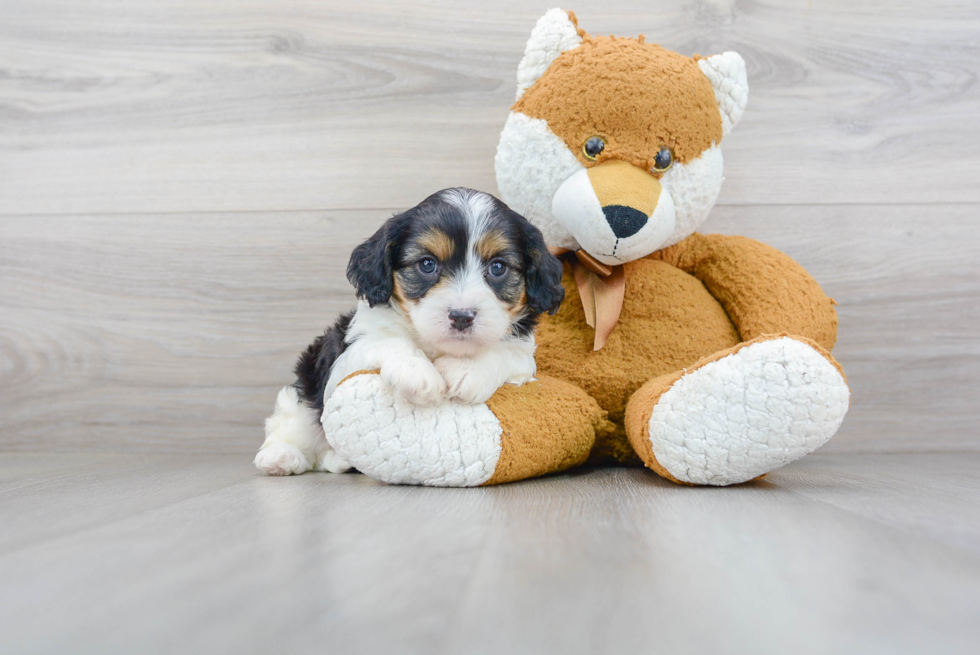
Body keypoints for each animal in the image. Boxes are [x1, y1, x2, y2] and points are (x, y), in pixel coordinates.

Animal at [256, 188, 564, 476]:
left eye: (498, 267)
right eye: (427, 264)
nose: (462, 316)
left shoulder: (524, 357)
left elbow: (505, 352)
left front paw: (468, 369)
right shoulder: (346, 357)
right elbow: (389, 341)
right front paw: (417, 373)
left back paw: (338, 460)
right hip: (308, 379)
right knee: (294, 419)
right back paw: (281, 456)